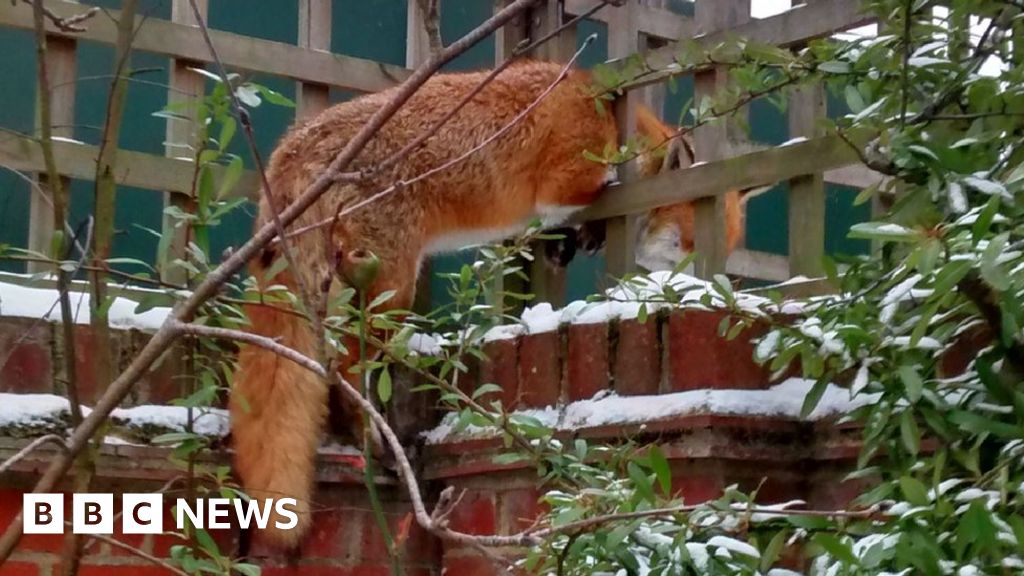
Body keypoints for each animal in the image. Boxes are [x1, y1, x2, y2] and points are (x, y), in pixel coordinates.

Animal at [234, 59, 753, 545]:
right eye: (691, 245)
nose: (711, 289)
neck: (610, 118)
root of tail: (291, 145)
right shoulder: (567, 179)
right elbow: (587, 193)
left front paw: (579, 238)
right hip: (391, 288)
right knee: (346, 363)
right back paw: (373, 440)